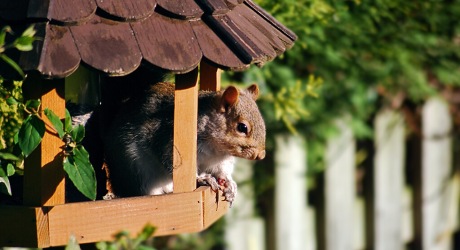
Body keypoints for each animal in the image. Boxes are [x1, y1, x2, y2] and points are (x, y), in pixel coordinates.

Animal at [102, 82, 264, 203]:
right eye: (242, 127)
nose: (261, 155)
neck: (217, 149)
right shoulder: (168, 139)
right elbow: (171, 162)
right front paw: (202, 178)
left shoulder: (221, 160)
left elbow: (222, 170)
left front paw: (229, 184)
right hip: (138, 170)